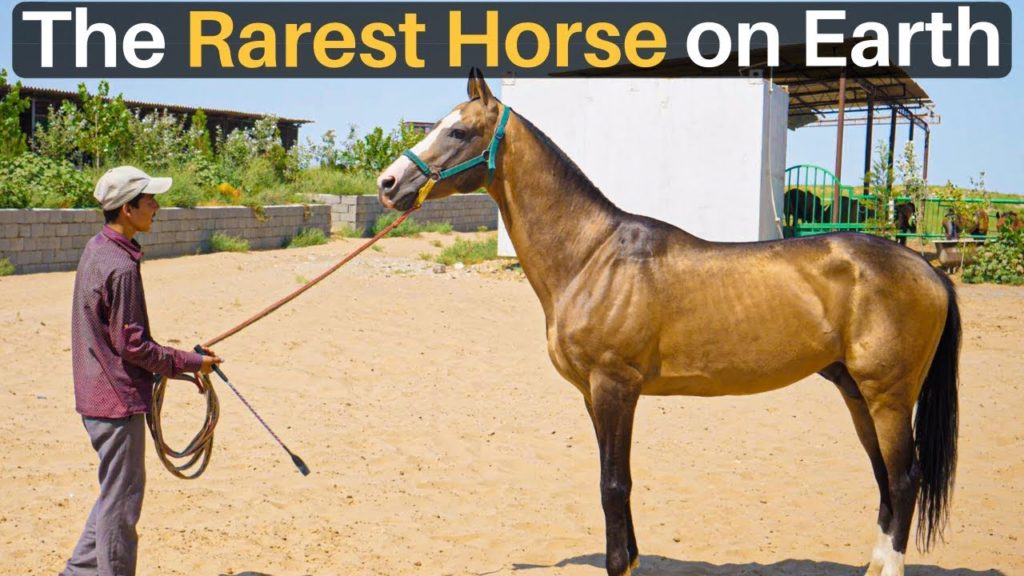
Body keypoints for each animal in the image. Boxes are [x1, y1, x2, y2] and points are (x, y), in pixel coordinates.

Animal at [377, 70, 960, 576]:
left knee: (904, 479)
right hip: (855, 390)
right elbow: (615, 480)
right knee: (884, 478)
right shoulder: (593, 395)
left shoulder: (615, 387)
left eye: (458, 131)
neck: (591, 256)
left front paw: (619, 562)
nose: (388, 183)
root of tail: (928, 269)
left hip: (887, 394)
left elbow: (613, 486)